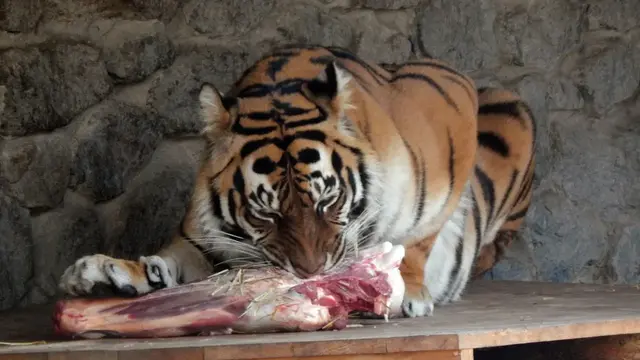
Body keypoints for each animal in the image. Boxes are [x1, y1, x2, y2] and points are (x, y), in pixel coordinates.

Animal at [57, 45, 536, 318]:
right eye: (265, 213)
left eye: (328, 201)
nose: (310, 273)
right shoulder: (203, 238)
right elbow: (172, 259)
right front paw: (111, 274)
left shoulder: (448, 101)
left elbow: (420, 233)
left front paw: (411, 289)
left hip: (510, 109)